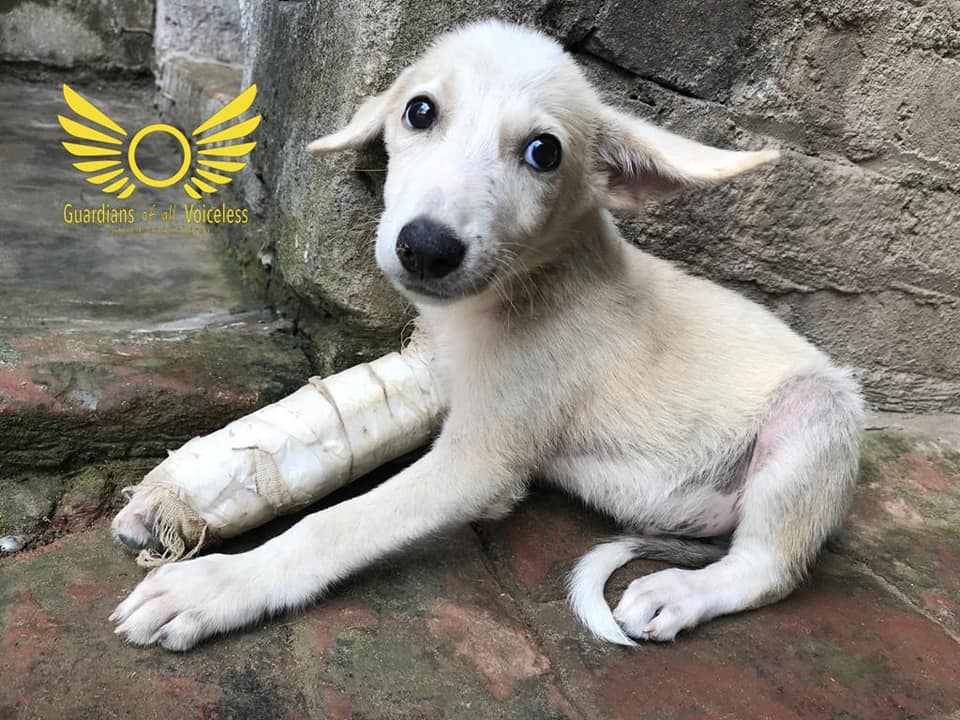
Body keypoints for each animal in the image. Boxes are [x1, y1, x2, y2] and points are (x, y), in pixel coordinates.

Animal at [110, 23, 864, 652]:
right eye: (419, 111)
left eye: (543, 152)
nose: (426, 248)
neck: (519, 288)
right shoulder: (436, 381)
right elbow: (319, 428)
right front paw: (170, 500)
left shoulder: (482, 462)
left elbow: (338, 522)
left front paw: (216, 586)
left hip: (818, 412)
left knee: (767, 568)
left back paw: (682, 592)